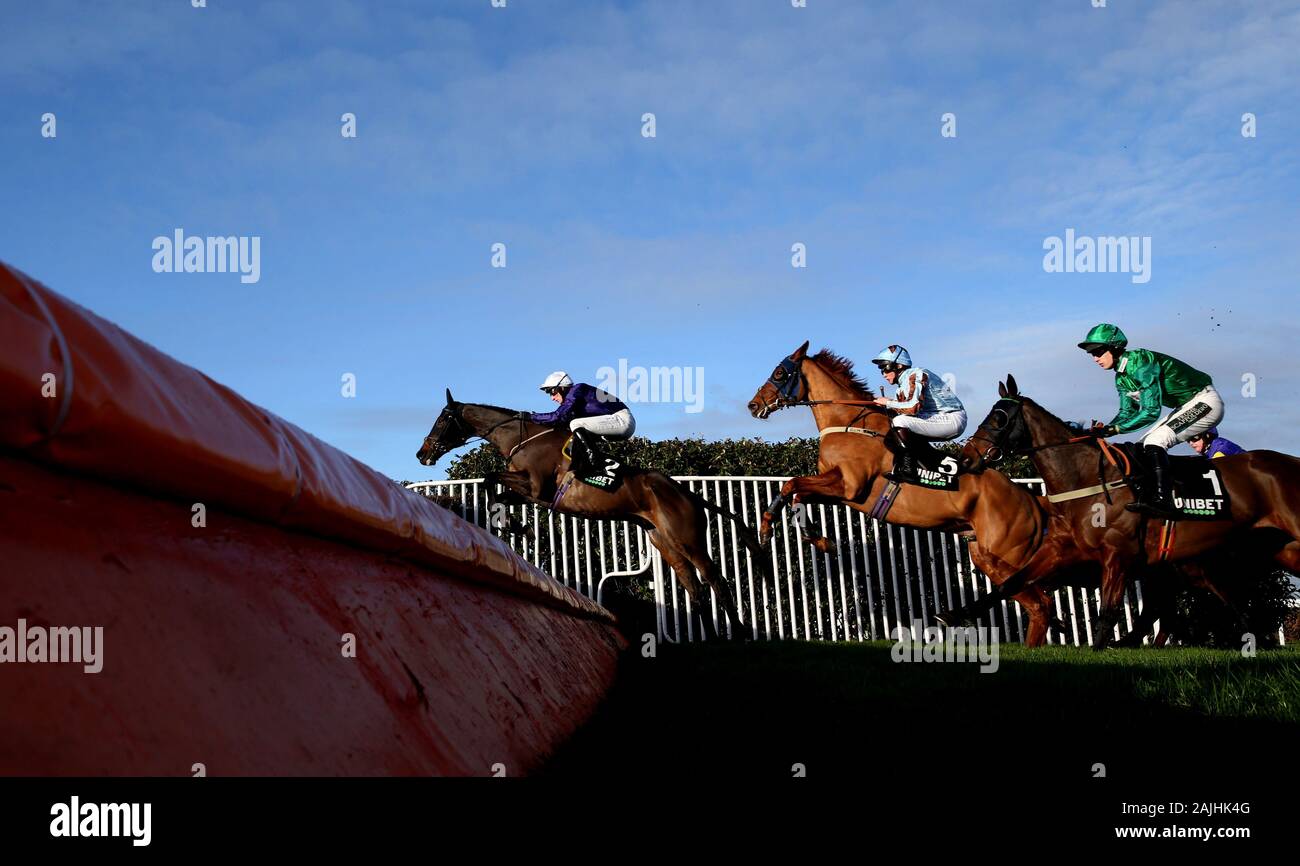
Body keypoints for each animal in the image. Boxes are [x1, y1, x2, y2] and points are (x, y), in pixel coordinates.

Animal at [416, 387, 759, 637]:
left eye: (442, 419)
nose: (422, 453)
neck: (521, 438)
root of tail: (686, 493)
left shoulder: (536, 487)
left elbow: (489, 478)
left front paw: (517, 526)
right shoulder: (531, 495)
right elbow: (493, 491)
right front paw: (517, 526)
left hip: (689, 539)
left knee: (717, 581)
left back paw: (739, 634)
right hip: (665, 542)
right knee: (696, 590)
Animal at [743, 340, 1076, 644]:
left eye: (779, 372)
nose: (753, 405)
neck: (847, 423)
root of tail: (1031, 499)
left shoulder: (849, 485)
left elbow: (792, 484)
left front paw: (768, 529)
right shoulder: (837, 487)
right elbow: (797, 493)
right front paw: (816, 539)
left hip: (1008, 553)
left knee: (1042, 603)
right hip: (986, 554)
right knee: (1039, 603)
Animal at [956, 374, 1300, 644]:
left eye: (999, 418)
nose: (967, 457)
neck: (1086, 478)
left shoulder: (1117, 554)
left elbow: (1107, 616)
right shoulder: (1061, 549)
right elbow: (1011, 583)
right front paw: (956, 614)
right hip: (1271, 549)